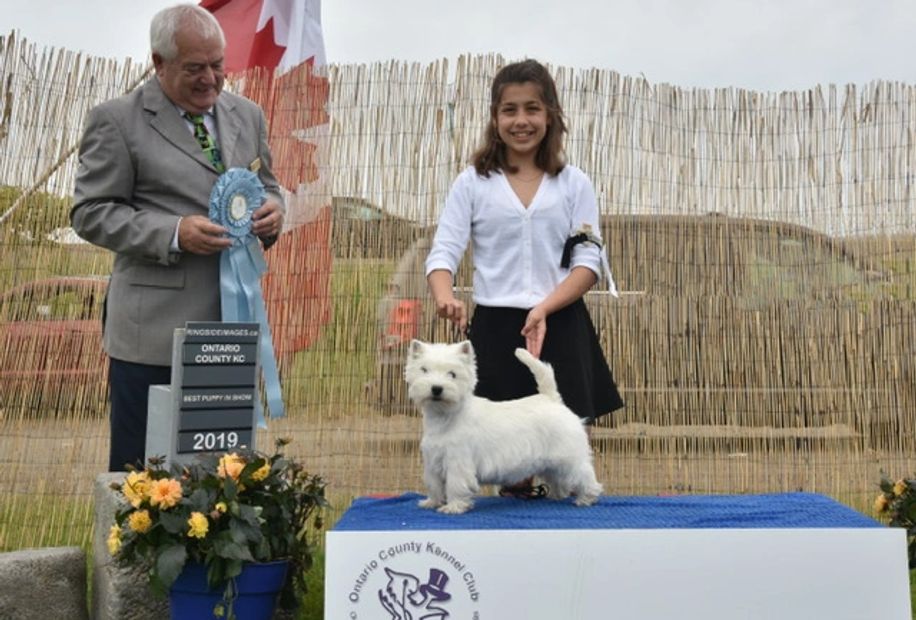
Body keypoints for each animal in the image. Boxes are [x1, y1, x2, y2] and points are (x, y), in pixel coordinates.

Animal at [405, 339, 603, 514]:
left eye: (452, 374)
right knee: (558, 479)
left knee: (583, 474)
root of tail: (552, 399)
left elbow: (455, 485)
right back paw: (556, 495)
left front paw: (453, 507)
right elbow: (434, 484)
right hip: (551, 462)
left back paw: (587, 497)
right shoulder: (433, 460)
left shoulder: (458, 461)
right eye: (424, 370)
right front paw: (431, 502)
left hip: (568, 455)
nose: (436, 388)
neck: (444, 417)